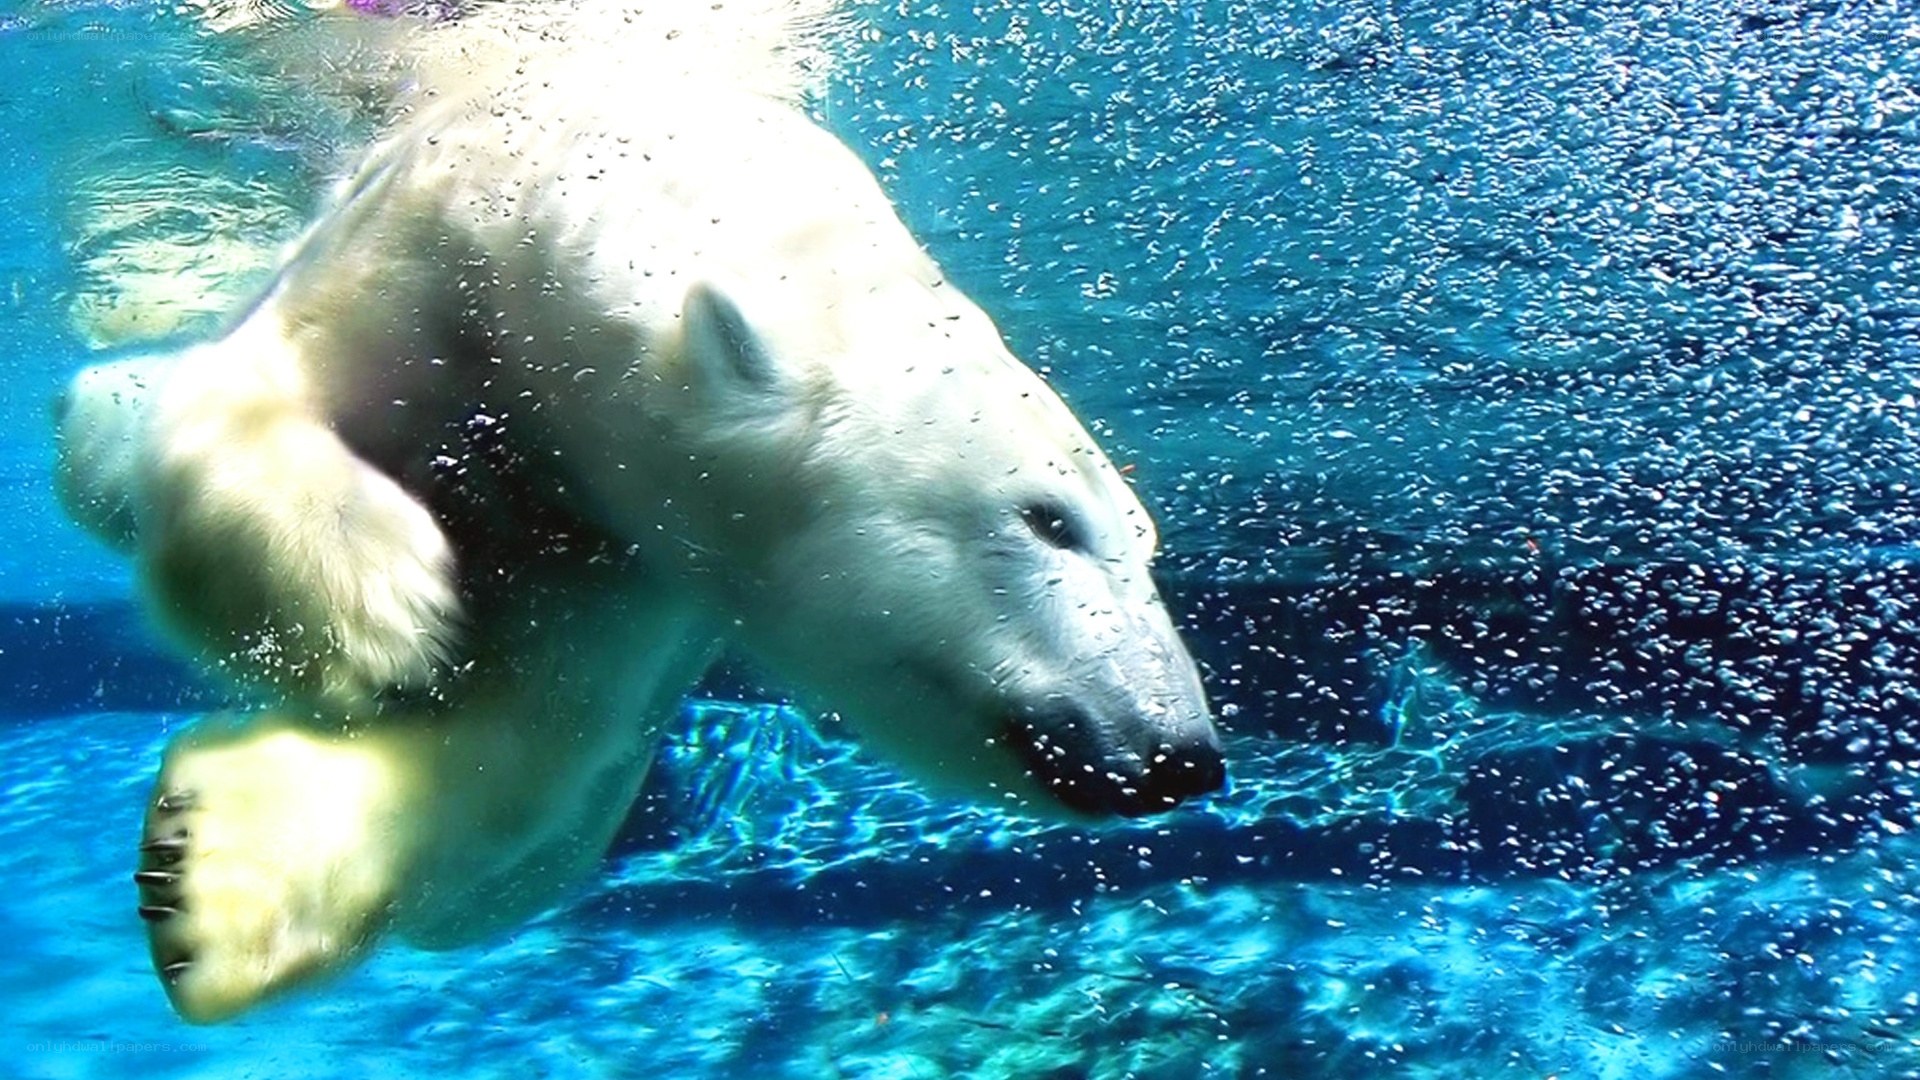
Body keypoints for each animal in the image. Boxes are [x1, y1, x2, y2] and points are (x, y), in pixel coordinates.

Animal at [52, 0, 1223, 1023]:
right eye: (1049, 518)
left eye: (1147, 544)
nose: (1182, 755)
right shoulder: (432, 252)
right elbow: (254, 394)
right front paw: (379, 606)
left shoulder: (637, 553)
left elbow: (534, 743)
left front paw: (209, 876)